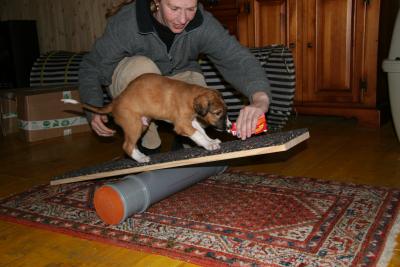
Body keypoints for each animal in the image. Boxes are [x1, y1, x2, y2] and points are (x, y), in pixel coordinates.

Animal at [64, 73, 230, 163]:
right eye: (217, 113)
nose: (228, 126)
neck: (190, 96)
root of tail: (115, 102)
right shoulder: (182, 125)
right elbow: (198, 135)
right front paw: (209, 145)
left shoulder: (192, 121)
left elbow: (202, 133)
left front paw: (211, 141)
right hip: (134, 125)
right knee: (127, 146)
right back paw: (141, 159)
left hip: (142, 125)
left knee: (131, 145)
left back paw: (140, 155)